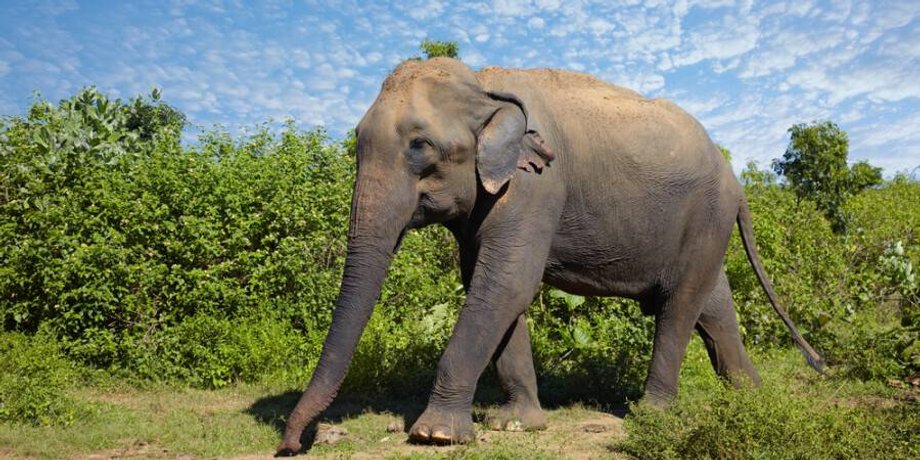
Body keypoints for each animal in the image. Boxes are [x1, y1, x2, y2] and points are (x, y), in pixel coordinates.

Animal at [275, 57, 824, 455]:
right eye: (356, 143)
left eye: (420, 147)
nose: (293, 445)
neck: (484, 85)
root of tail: (736, 179)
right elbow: (492, 285)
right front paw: (515, 424)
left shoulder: (538, 185)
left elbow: (507, 281)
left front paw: (436, 435)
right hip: (705, 227)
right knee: (714, 305)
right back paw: (753, 398)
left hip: (707, 216)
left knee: (679, 307)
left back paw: (651, 414)